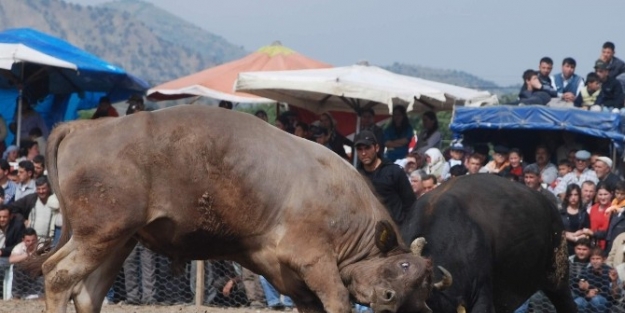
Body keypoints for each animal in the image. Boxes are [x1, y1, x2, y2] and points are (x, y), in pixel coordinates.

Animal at [28, 105, 448, 312]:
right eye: (401, 266)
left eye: (421, 285)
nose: (389, 298)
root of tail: (85, 128)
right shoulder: (316, 263)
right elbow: (338, 300)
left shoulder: (295, 283)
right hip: (99, 235)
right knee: (58, 275)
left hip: (117, 240)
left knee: (87, 294)